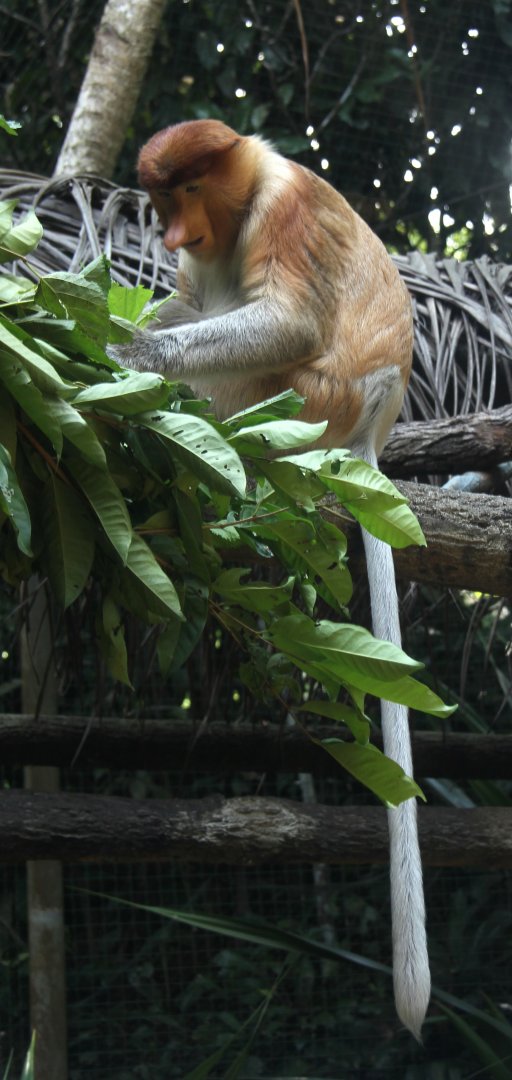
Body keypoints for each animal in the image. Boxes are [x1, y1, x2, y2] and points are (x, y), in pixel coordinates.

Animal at [109, 118, 430, 1039]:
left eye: (189, 190)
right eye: (161, 198)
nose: (174, 236)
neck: (247, 185)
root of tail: (370, 427)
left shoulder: (286, 213)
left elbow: (283, 320)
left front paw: (125, 349)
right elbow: (193, 299)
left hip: (305, 403)